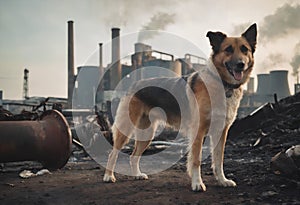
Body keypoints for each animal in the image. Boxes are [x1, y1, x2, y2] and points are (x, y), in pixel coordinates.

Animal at [103, 23, 258, 191]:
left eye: (244, 49)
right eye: (228, 49)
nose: (241, 64)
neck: (223, 84)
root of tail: (135, 83)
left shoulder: (220, 132)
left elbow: (219, 160)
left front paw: (222, 180)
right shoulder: (198, 131)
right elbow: (196, 160)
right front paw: (197, 183)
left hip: (147, 134)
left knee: (133, 156)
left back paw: (137, 175)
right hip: (127, 129)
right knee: (112, 153)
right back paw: (108, 176)